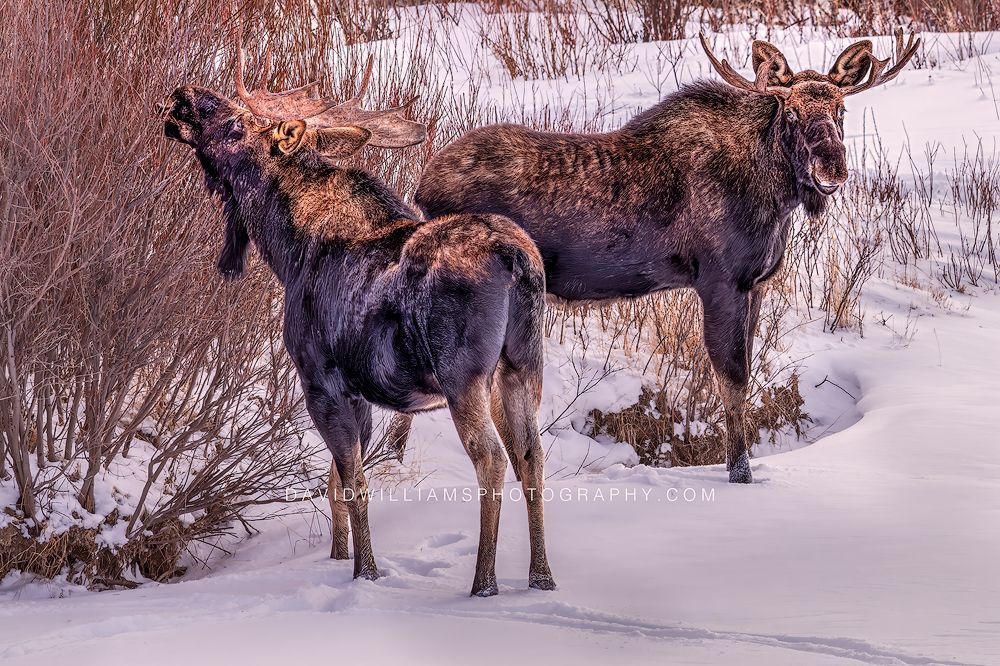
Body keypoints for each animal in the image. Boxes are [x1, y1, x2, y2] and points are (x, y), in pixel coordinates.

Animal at [161, 50, 556, 597]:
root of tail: (516, 259)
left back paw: (484, 583)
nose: (182, 96)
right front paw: (337, 557)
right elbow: (335, 483)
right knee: (532, 458)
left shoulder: (321, 380)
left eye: (238, 124)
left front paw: (365, 572)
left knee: (493, 459)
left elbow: (352, 483)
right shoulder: (360, 393)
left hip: (464, 375)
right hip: (522, 365)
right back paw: (542, 577)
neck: (287, 250)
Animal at [406, 30, 920, 484]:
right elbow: (732, 379)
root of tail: (420, 189)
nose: (833, 168)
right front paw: (740, 473)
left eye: (841, 108)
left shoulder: (756, 284)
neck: (775, 196)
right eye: (790, 112)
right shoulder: (721, 281)